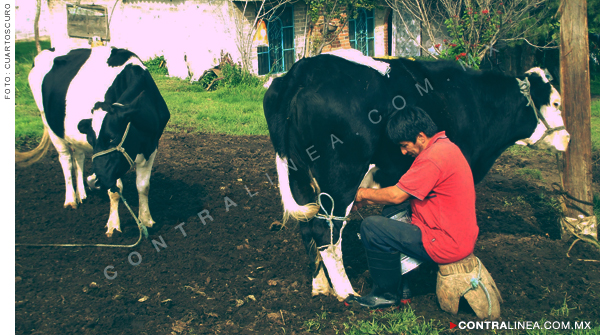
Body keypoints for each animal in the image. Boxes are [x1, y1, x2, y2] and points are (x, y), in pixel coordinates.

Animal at [18, 46, 169, 236]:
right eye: (93, 139)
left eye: (112, 137)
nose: (93, 181)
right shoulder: (112, 166)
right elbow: (115, 190)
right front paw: (113, 225)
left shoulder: (151, 146)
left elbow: (143, 186)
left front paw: (146, 220)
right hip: (49, 123)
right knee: (65, 160)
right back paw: (71, 199)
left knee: (78, 157)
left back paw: (82, 194)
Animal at [264, 49, 572, 302]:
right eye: (557, 103)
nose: (567, 139)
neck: (473, 101)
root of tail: (303, 70)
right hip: (342, 176)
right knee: (324, 229)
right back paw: (346, 292)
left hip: (300, 177)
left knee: (306, 226)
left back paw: (320, 287)